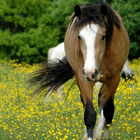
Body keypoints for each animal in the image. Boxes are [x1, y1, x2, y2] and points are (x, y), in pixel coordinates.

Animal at [27, 0, 130, 139]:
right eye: (79, 37)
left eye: (103, 36)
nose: (91, 72)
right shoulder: (84, 78)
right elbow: (89, 114)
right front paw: (90, 135)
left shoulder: (114, 79)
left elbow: (108, 111)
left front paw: (103, 134)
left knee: (103, 102)